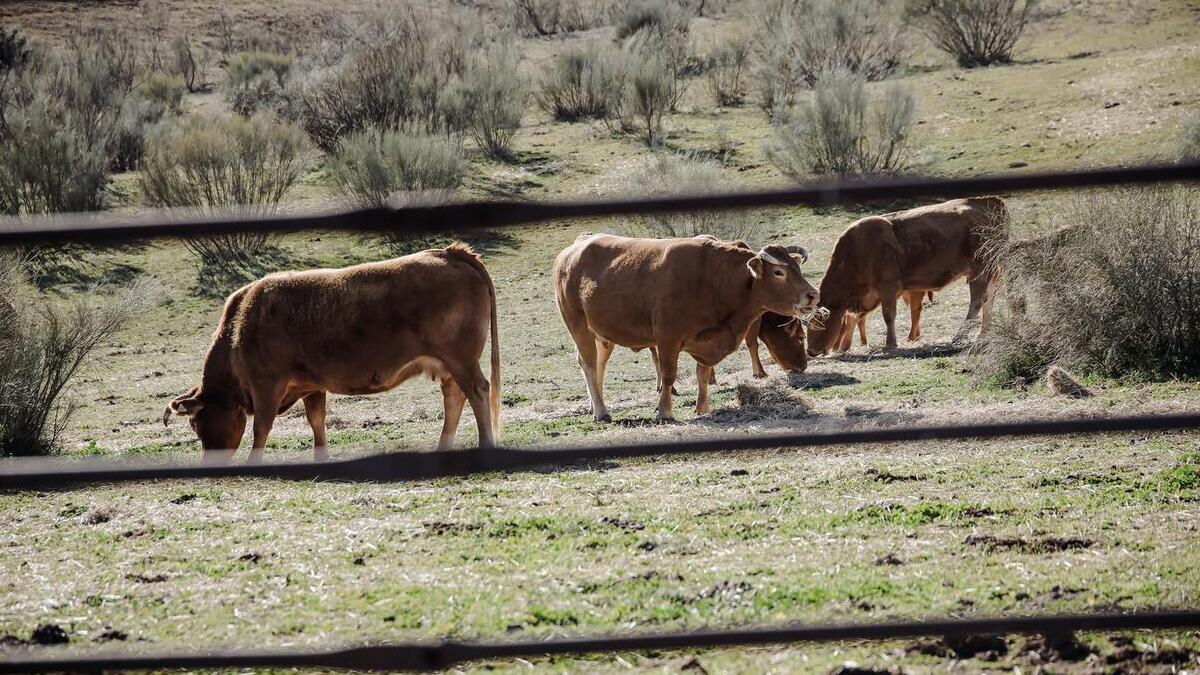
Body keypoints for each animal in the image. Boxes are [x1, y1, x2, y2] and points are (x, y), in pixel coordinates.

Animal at [162, 242, 499, 461]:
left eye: (197, 424)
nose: (209, 462)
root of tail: (450, 253)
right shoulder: (311, 387)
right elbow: (317, 423)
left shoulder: (267, 386)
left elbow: (261, 428)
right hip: (448, 366)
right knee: (455, 398)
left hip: (462, 360)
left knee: (478, 391)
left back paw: (486, 444)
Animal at [549, 234, 816, 417]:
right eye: (778, 272)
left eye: (797, 268)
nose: (812, 295)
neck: (714, 279)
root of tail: (574, 248)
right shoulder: (668, 338)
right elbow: (668, 375)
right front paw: (665, 411)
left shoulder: (707, 342)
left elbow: (702, 375)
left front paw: (702, 407)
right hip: (578, 325)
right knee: (588, 364)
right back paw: (602, 412)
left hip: (602, 334)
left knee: (598, 365)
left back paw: (596, 405)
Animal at [801, 195, 1008, 355]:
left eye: (817, 323)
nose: (810, 351)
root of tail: (989, 201)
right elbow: (854, 317)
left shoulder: (887, 286)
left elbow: (888, 315)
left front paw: (890, 344)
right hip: (990, 271)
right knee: (989, 300)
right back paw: (983, 334)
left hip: (979, 271)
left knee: (977, 302)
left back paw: (960, 336)